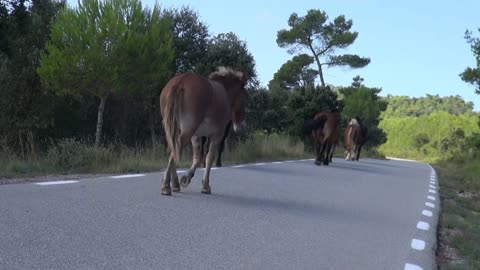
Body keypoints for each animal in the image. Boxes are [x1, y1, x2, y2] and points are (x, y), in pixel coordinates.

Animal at [160, 66, 246, 195]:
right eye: (244, 97)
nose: (241, 125)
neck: (225, 92)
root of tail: (180, 82)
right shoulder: (217, 134)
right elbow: (209, 157)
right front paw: (205, 185)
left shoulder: (196, 135)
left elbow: (198, 157)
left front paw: (187, 178)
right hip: (187, 130)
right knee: (174, 151)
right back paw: (166, 185)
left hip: (173, 128)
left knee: (172, 149)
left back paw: (174, 184)